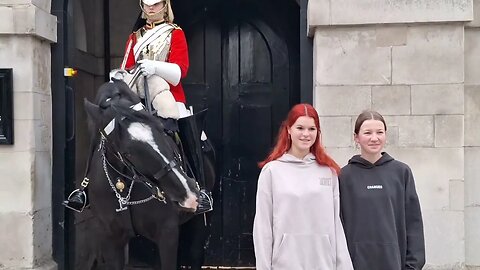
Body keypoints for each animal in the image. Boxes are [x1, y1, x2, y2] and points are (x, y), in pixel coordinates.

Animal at [76, 80, 214, 270]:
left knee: (195, 254)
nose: (189, 192)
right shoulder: (111, 237)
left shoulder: (167, 233)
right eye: (127, 153)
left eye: (161, 129)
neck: (124, 185)